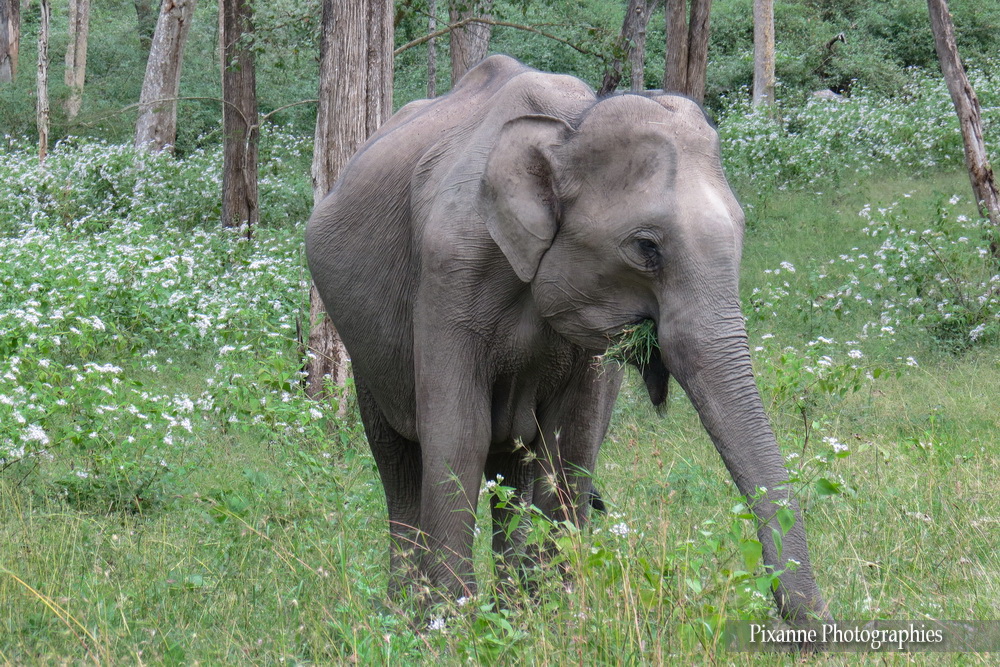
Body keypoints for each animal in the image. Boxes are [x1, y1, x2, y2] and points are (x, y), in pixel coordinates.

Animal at [306, 55, 830, 622]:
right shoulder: (447, 271)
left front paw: (556, 615)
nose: (817, 627)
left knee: (511, 465)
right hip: (361, 348)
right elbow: (457, 431)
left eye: (741, 232)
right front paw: (453, 623)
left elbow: (572, 439)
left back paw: (511, 606)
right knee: (397, 459)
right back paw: (405, 611)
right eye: (646, 247)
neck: (570, 128)